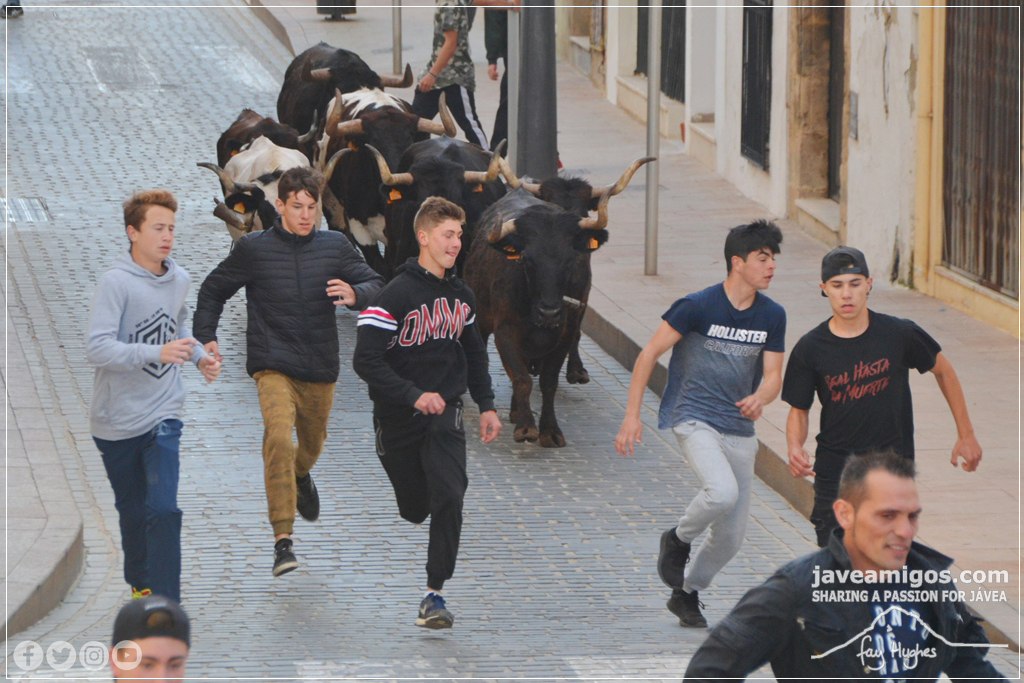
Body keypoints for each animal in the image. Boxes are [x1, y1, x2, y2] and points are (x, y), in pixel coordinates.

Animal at [464, 157, 653, 448]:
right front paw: (526, 426)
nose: (549, 312)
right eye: (526, 259)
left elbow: (548, 381)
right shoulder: (505, 332)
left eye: (569, 258)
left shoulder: (568, 328)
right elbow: (521, 377)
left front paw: (550, 430)